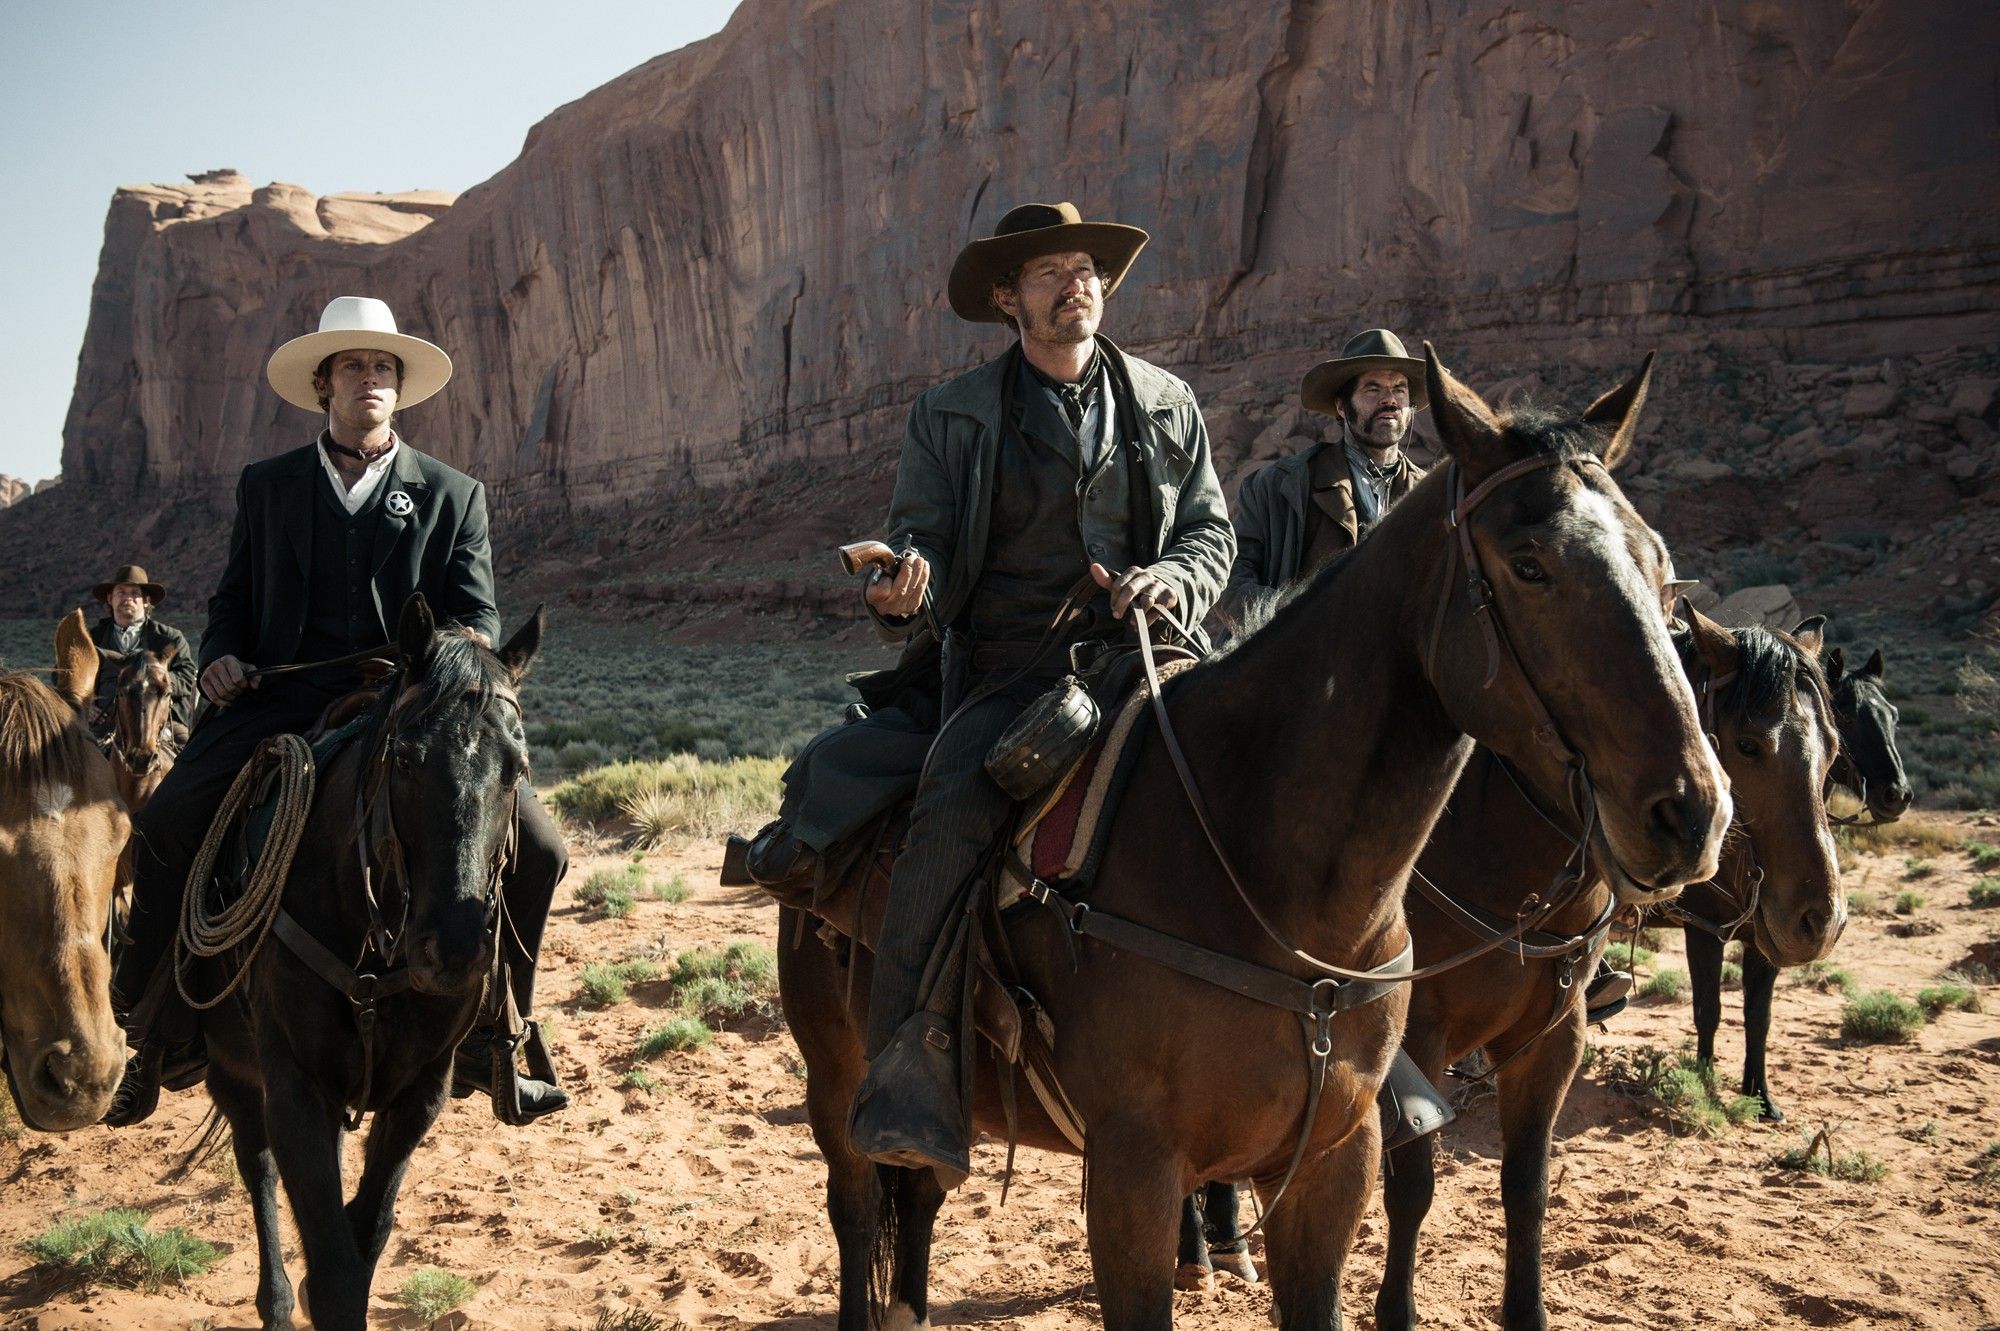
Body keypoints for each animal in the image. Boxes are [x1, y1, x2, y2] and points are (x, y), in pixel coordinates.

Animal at [194, 595, 540, 1327]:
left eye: (517, 768)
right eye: (405, 759)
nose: (454, 950)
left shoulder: (420, 1090)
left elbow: (367, 1232)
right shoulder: (295, 1086)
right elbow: (333, 1272)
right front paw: (302, 1291)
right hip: (230, 1066)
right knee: (255, 1162)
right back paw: (273, 1301)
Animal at [772, 343, 1728, 1327]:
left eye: (1662, 570)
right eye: (1530, 564)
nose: (1692, 811)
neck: (1267, 876)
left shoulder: (1339, 1158)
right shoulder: (1134, 1174)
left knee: (918, 1202)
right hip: (836, 1075)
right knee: (859, 1210)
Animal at [1376, 607, 1840, 1327]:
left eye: (1834, 752)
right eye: (1747, 744)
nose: (1819, 918)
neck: (1484, 839)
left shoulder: (1552, 1039)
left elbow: (1526, 1188)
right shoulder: (1414, 1042)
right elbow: (1412, 1190)